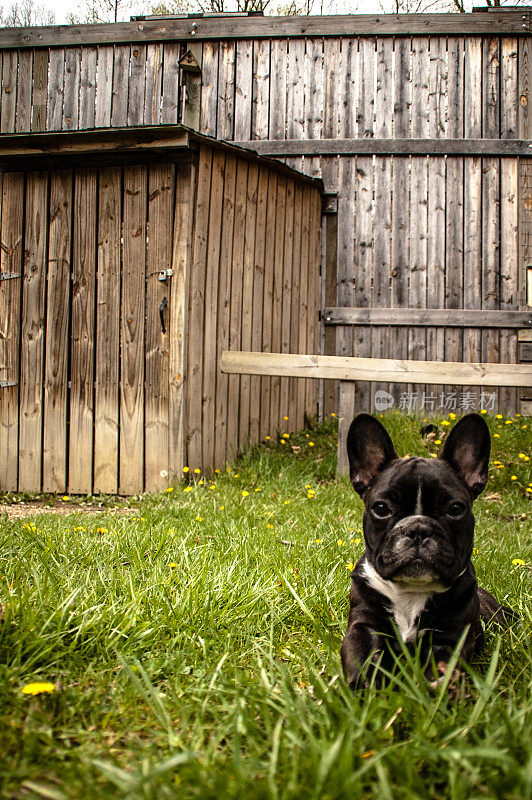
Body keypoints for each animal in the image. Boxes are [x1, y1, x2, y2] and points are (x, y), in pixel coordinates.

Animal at [340, 412, 516, 688]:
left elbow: (443, 668)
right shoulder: (364, 626)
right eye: (380, 508)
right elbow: (363, 659)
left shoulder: (451, 637)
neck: (411, 593)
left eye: (455, 509)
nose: (418, 529)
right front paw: (362, 691)